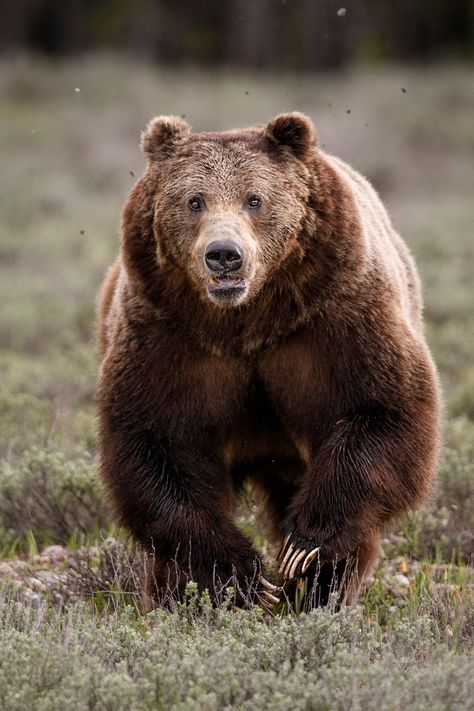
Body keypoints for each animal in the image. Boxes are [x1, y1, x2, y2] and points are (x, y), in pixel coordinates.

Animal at [96, 112, 440, 612]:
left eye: (254, 198)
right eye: (194, 201)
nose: (224, 255)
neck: (250, 321)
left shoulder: (338, 316)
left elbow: (382, 410)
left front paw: (304, 548)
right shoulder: (169, 335)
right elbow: (157, 441)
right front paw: (240, 574)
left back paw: (321, 593)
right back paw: (173, 597)